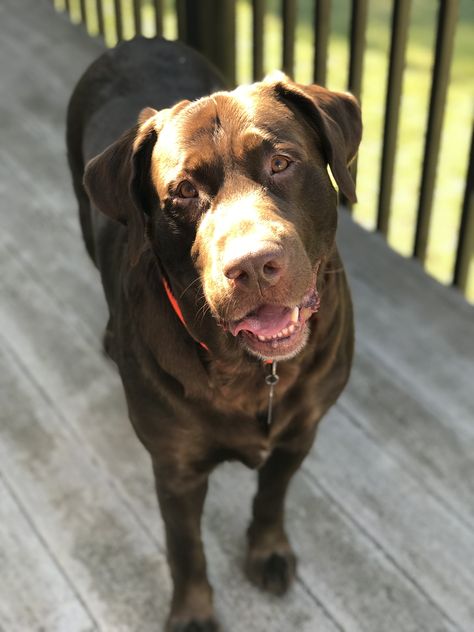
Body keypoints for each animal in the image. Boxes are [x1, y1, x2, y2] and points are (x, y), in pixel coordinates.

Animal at [66, 35, 362, 632]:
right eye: (182, 191)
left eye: (280, 162)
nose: (252, 265)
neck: (251, 372)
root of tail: (137, 39)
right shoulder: (175, 468)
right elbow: (186, 548)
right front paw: (193, 612)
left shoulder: (300, 432)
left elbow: (271, 496)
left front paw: (268, 551)